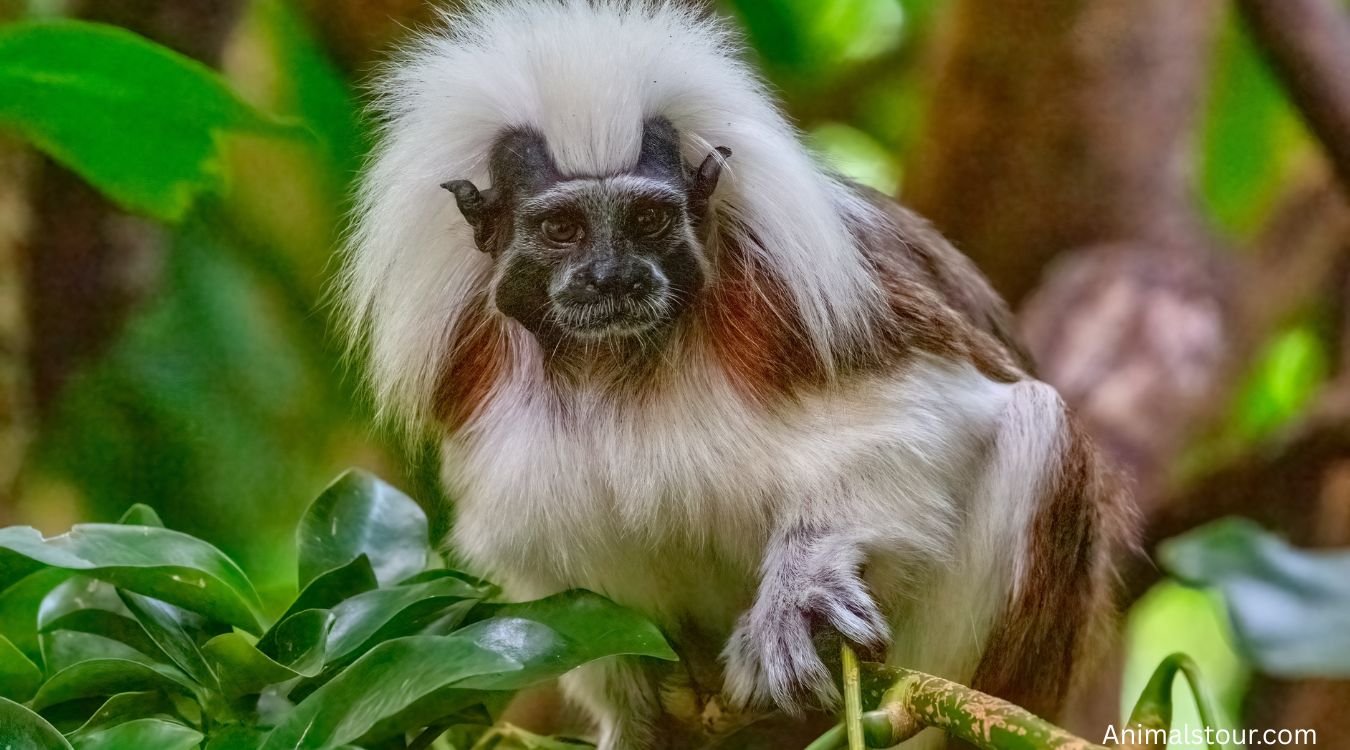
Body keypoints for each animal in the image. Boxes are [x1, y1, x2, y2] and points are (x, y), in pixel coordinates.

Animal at [341, 2, 1137, 748]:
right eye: (562, 229)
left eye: (649, 220)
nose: (612, 278)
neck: (615, 363)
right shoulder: (479, 381)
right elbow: (549, 565)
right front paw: (634, 715)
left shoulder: (794, 308)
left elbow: (938, 411)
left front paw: (798, 590)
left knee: (1037, 422)